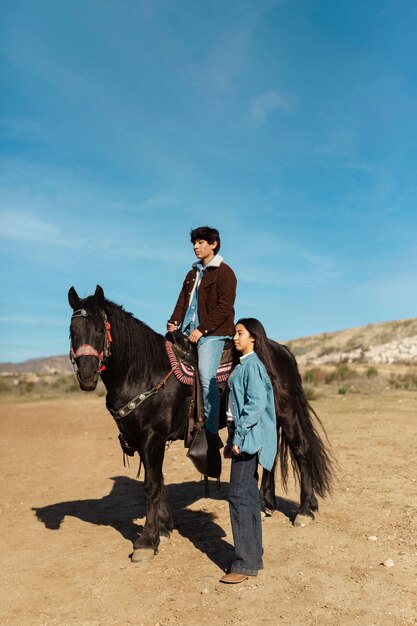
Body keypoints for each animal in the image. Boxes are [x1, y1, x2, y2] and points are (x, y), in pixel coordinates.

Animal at [69, 282, 334, 560]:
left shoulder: (153, 437)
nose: (87, 376)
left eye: (101, 329)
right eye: (72, 331)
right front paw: (165, 528)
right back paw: (265, 505)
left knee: (301, 449)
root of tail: (283, 350)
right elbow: (159, 482)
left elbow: (151, 485)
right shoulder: (143, 440)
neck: (143, 372)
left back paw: (304, 511)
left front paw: (147, 541)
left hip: (287, 411)